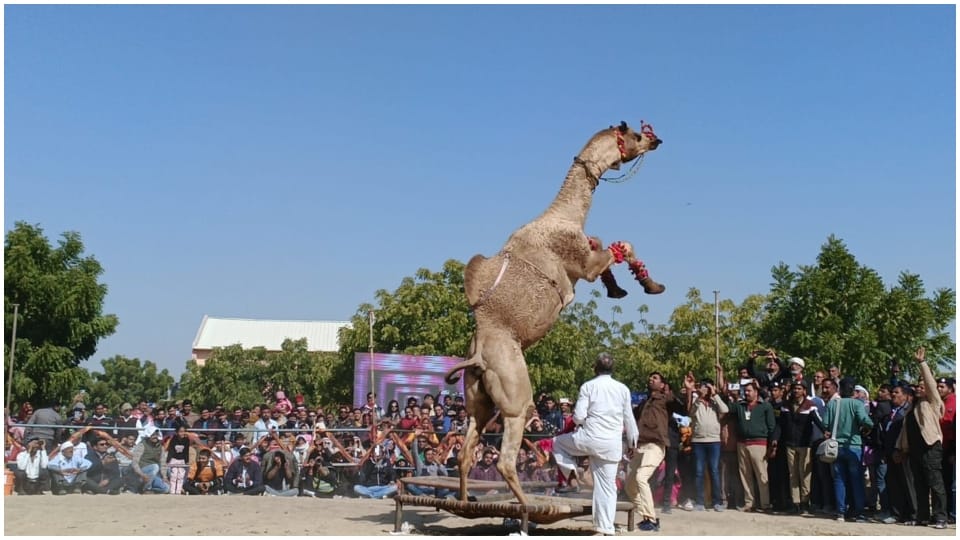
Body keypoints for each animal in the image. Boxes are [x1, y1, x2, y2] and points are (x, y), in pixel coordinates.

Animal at [444, 121, 664, 506]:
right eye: (636, 135)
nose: (656, 140)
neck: (565, 215)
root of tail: (478, 355)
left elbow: (608, 246)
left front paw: (625, 288)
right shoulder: (582, 263)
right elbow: (620, 246)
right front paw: (649, 285)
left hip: (477, 399)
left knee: (466, 451)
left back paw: (465, 501)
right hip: (515, 394)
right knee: (504, 457)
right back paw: (529, 505)